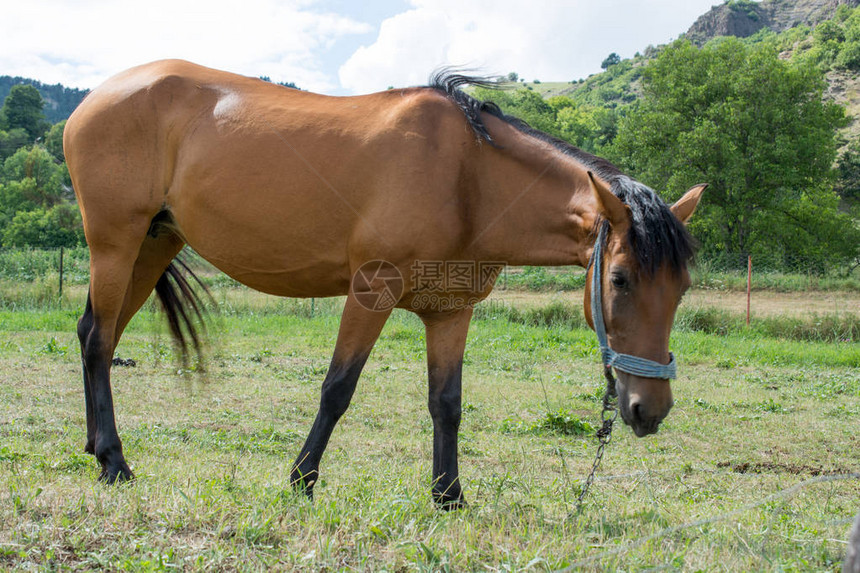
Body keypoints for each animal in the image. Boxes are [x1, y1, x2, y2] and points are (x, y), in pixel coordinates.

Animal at [62, 59, 704, 504]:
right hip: (115, 243)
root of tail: (95, 98)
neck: (467, 177)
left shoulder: (451, 311)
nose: (649, 409)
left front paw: (449, 497)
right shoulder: (370, 292)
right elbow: (337, 389)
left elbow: (447, 403)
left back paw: (95, 448)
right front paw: (302, 480)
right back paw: (115, 463)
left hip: (153, 243)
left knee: (96, 334)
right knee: (98, 342)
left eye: (681, 288)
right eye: (619, 279)